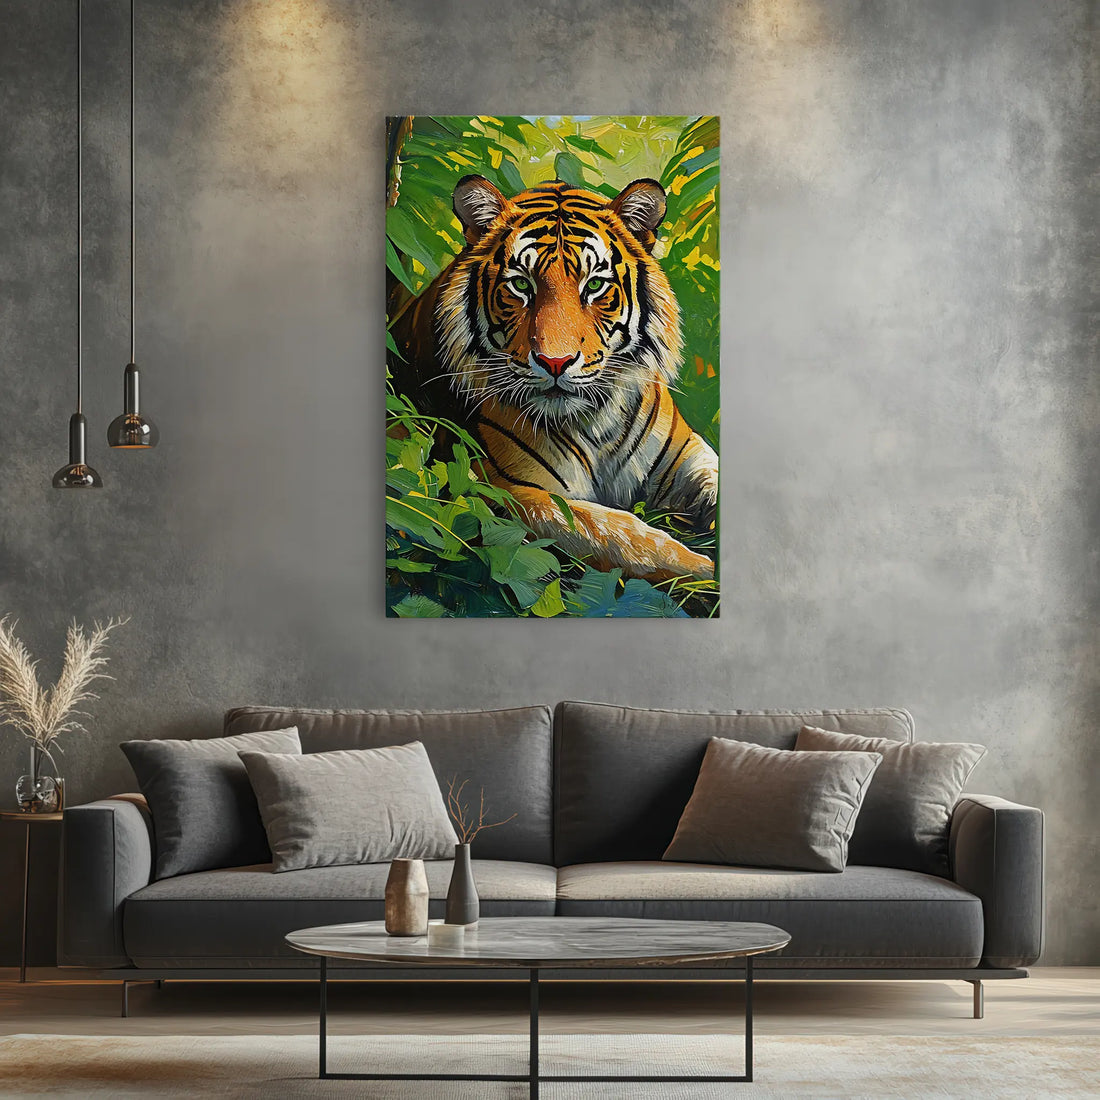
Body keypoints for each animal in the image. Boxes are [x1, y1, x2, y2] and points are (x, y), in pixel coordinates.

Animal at [389, 175, 718, 582]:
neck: (597, 423)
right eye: (521, 285)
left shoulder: (688, 453)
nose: (555, 362)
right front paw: (705, 570)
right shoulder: (511, 491)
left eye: (593, 286)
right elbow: (620, 533)